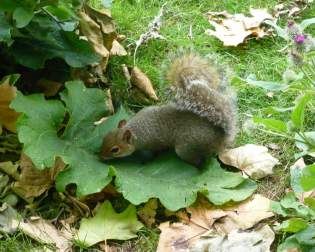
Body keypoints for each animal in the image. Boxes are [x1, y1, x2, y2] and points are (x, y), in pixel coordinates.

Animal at [100, 54, 238, 165]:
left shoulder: (153, 143)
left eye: (115, 150)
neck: (136, 130)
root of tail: (221, 139)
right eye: (105, 137)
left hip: (187, 148)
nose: (100, 157)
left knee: (198, 160)